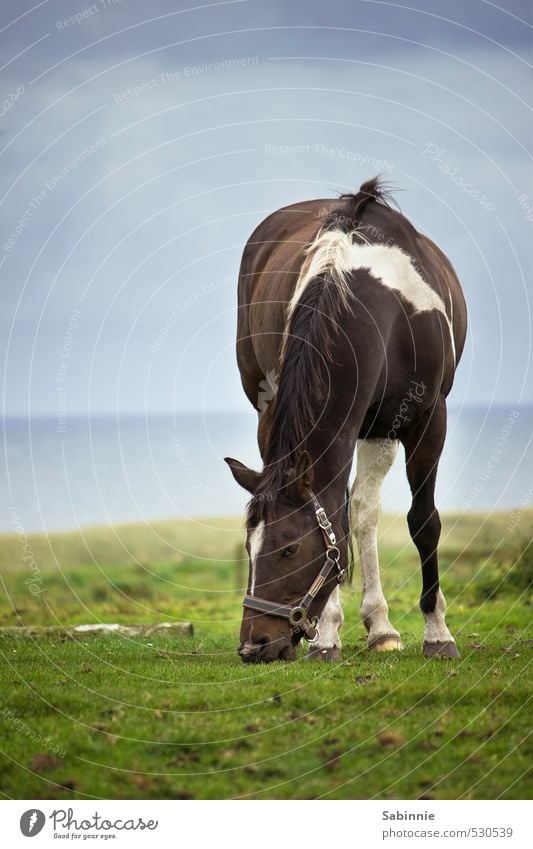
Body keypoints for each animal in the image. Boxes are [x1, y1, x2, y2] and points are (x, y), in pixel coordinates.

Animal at [224, 177, 466, 664]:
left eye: (289, 548)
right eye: (247, 547)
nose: (254, 645)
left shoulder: (428, 418)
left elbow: (423, 522)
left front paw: (437, 634)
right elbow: (334, 516)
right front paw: (327, 638)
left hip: (381, 427)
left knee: (365, 511)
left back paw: (382, 628)